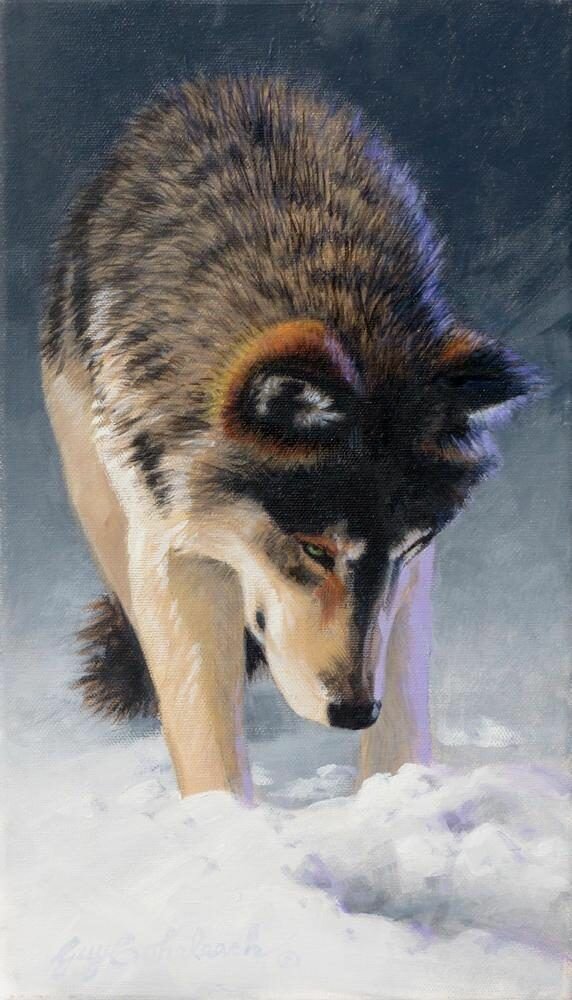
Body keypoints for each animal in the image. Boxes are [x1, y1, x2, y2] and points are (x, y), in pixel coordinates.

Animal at [41, 77, 537, 800]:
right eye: (314, 549)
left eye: (412, 544)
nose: (354, 711)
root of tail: (229, 85)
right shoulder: (170, 548)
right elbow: (204, 732)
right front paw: (226, 827)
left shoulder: (410, 580)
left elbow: (404, 715)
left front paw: (398, 799)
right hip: (98, 487)